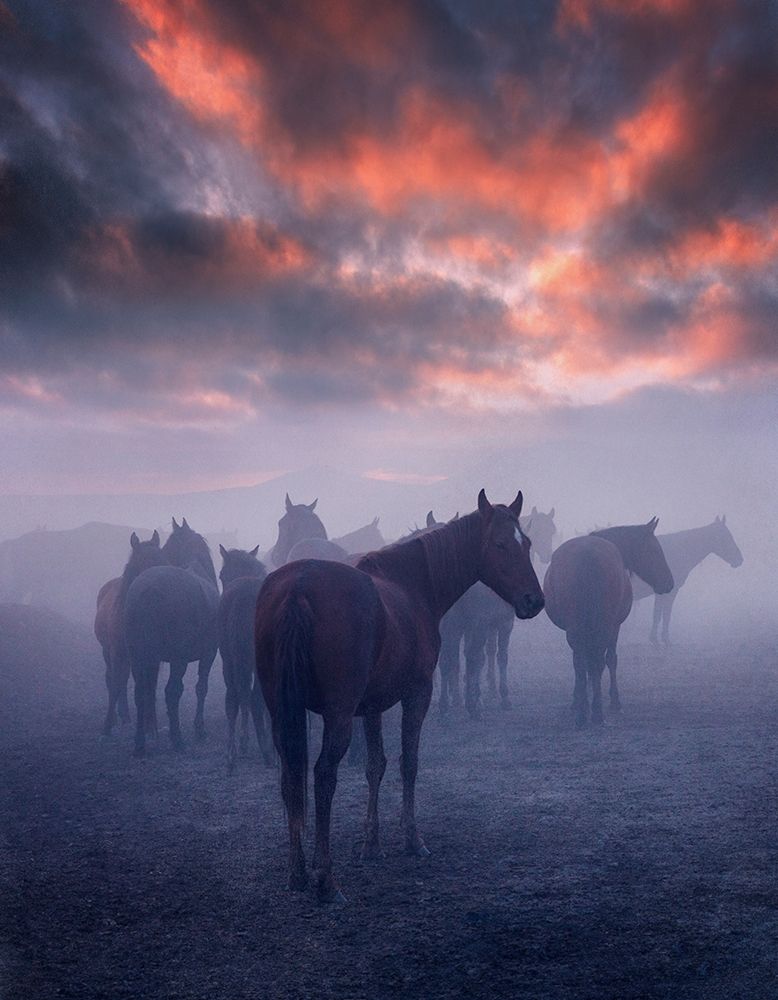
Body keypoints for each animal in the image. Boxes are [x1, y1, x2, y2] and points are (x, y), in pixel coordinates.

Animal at [93, 530, 162, 735]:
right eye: (144, 562)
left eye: (162, 558)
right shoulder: (117, 651)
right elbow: (116, 682)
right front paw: (107, 726)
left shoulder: (152, 653)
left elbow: (150, 685)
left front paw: (151, 726)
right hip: (109, 651)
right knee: (113, 679)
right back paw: (120, 717)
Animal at [126, 518, 220, 756]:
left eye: (166, 547)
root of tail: (148, 590)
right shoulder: (209, 654)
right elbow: (201, 688)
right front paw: (199, 729)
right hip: (178, 660)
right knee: (172, 692)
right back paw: (177, 739)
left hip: (137, 657)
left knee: (140, 693)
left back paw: (140, 743)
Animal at [254, 489, 544, 904]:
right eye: (501, 544)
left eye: (528, 543)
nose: (534, 600)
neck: (412, 583)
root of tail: (300, 585)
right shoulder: (417, 693)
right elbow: (409, 763)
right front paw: (412, 838)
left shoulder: (372, 705)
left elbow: (375, 765)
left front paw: (371, 844)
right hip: (337, 716)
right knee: (323, 776)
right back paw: (326, 878)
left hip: (283, 712)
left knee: (290, 777)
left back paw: (297, 872)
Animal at [543, 518, 674, 728]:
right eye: (655, 549)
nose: (669, 583)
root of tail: (587, 558)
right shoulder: (615, 626)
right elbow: (611, 660)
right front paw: (614, 701)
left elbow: (585, 665)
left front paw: (578, 699)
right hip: (603, 626)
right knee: (597, 662)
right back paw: (596, 712)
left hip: (577, 628)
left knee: (581, 663)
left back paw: (583, 713)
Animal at [630, 516, 743, 645]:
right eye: (726, 537)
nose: (740, 559)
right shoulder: (668, 592)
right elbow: (663, 615)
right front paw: (662, 640)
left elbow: (660, 615)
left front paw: (657, 638)